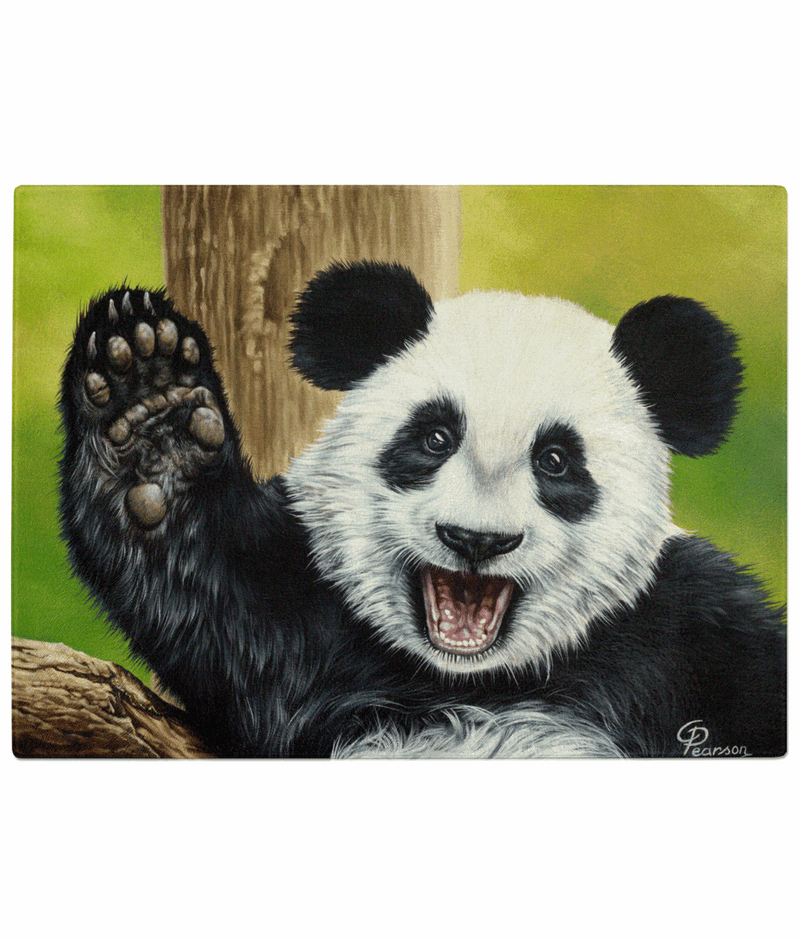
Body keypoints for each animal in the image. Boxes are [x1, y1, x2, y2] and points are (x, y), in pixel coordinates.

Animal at [58, 261, 786, 758]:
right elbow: (210, 584)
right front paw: (151, 407)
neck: (473, 681)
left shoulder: (690, 628)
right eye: (435, 438)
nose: (476, 540)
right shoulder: (306, 623)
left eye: (555, 460)